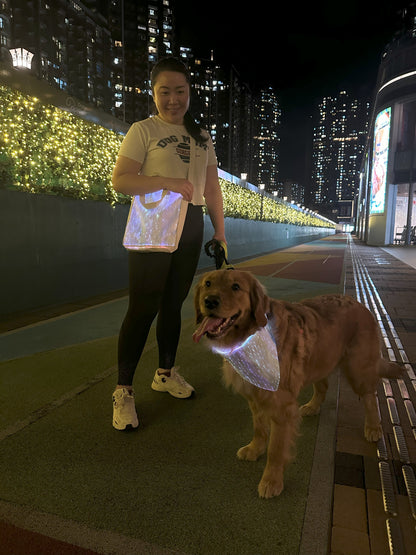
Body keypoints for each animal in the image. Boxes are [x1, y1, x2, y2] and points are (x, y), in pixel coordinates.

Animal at [193, 270, 404, 500]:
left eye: (236, 287)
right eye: (208, 283)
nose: (210, 301)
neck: (250, 335)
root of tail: (359, 303)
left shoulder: (282, 409)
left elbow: (276, 450)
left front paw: (271, 481)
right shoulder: (255, 397)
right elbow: (259, 428)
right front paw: (255, 448)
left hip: (357, 369)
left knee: (370, 396)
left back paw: (373, 426)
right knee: (322, 387)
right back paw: (312, 406)